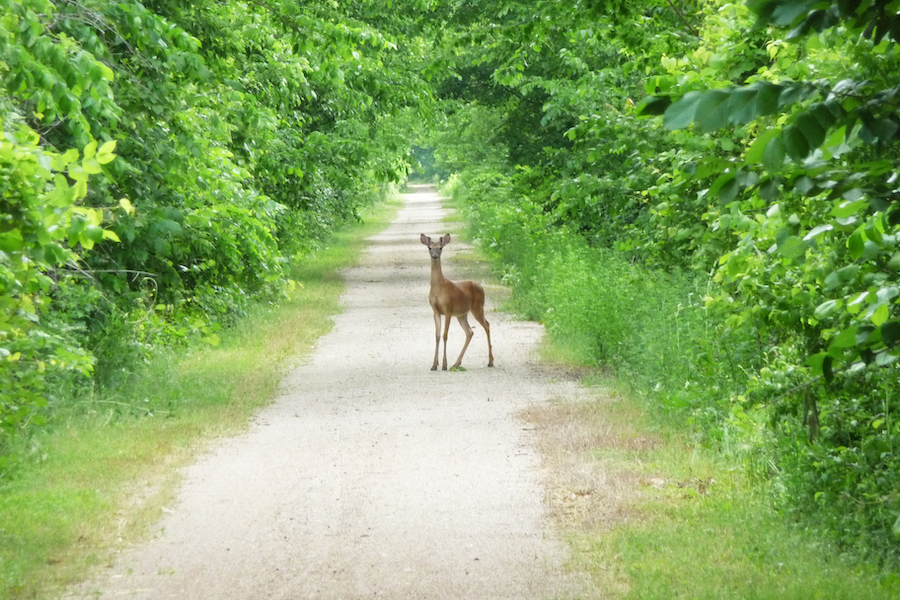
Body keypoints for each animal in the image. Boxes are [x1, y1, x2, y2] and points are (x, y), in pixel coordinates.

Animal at [420, 233, 492, 370]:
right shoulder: (435, 311)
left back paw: (490, 361)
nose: (435, 256)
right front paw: (434, 365)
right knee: (469, 332)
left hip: (478, 307)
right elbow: (437, 336)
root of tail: (481, 287)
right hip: (462, 314)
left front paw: (444, 364)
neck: (438, 287)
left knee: (487, 325)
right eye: (430, 248)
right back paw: (457, 363)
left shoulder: (448, 309)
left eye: (440, 248)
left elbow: (445, 335)